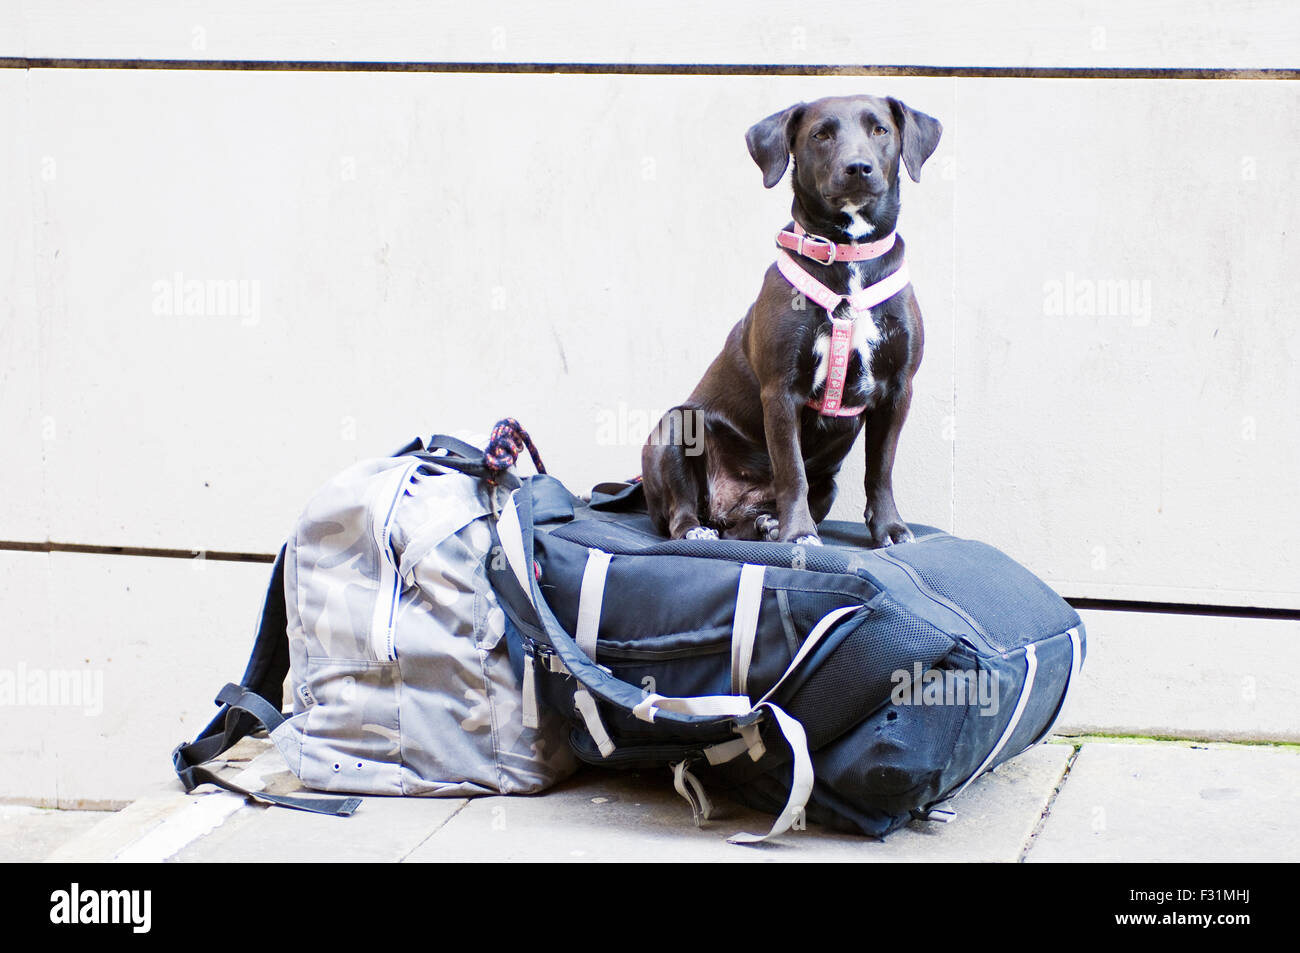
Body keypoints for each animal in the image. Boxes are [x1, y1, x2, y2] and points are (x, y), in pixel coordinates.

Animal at [644, 94, 941, 551]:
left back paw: (765, 525)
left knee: (742, 526)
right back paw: (702, 528)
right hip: (676, 425)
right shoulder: (781, 391)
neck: (848, 257)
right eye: (821, 134)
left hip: (828, 484)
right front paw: (799, 532)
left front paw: (890, 528)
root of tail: (727, 504)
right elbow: (791, 472)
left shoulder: (897, 390)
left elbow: (881, 470)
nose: (858, 168)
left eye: (880, 129)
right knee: (681, 513)